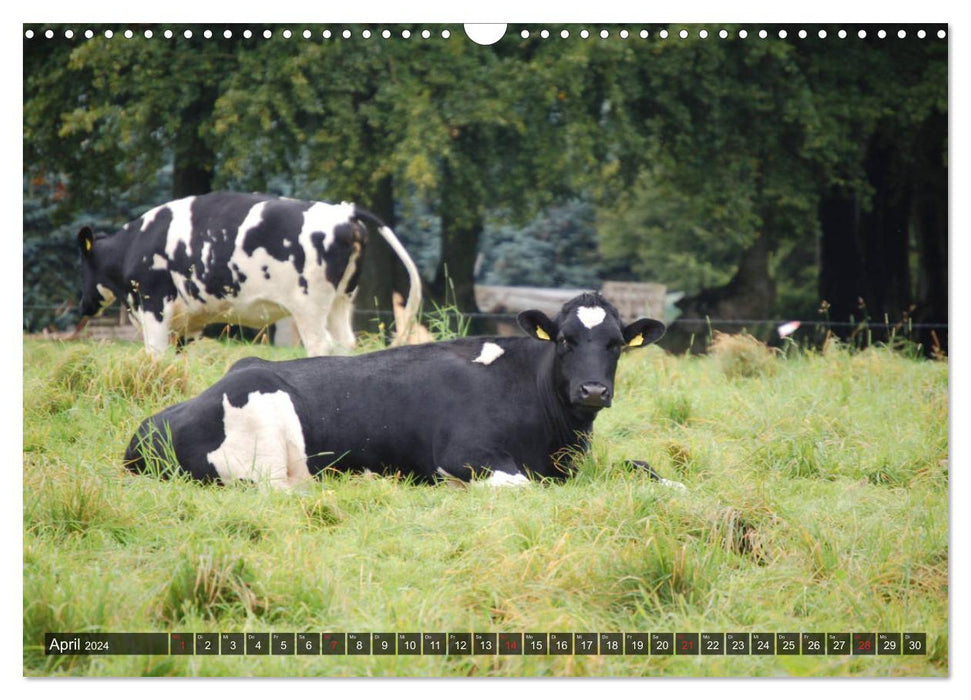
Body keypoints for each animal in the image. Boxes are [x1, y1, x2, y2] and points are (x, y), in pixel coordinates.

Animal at [77, 190, 422, 356]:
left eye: (84, 263)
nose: (84, 305)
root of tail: (343, 211)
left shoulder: (154, 305)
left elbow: (155, 355)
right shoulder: (188, 322)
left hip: (310, 306)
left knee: (320, 346)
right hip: (341, 301)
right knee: (344, 343)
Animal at [123, 292, 668, 490]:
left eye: (616, 344)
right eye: (564, 340)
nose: (593, 390)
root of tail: (145, 431)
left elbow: (649, 470)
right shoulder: (463, 456)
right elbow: (523, 485)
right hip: (261, 454)